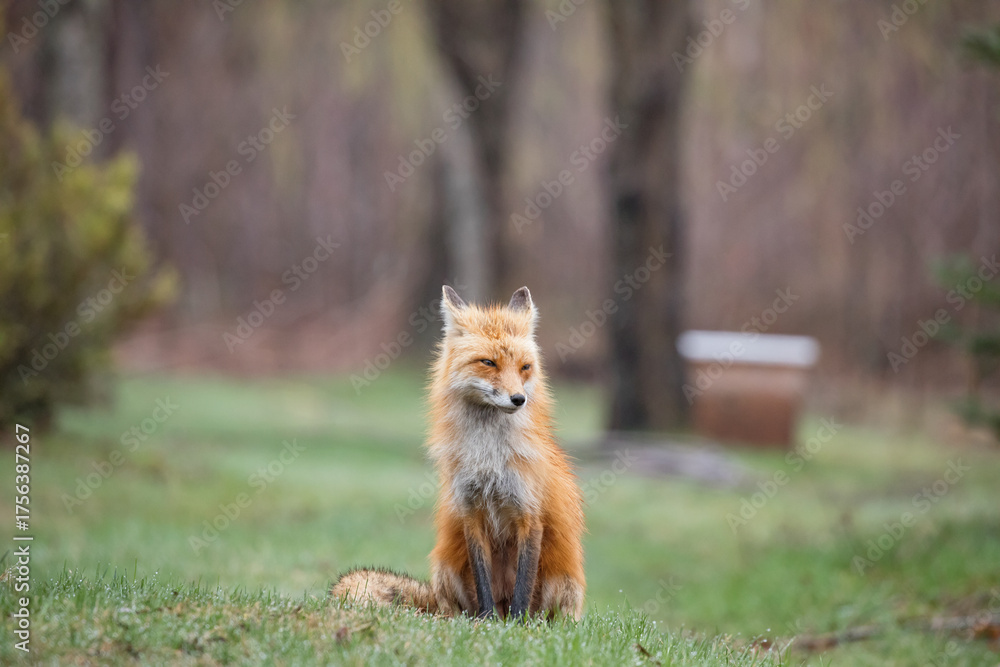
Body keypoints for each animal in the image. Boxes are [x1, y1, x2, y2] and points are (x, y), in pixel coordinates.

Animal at [332, 285, 585, 620]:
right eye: (488, 363)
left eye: (525, 367)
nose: (519, 399)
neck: (489, 457)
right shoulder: (470, 511)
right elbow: (482, 580)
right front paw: (488, 622)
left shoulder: (529, 514)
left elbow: (523, 586)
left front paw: (518, 625)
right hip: (444, 570)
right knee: (453, 611)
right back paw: (480, 619)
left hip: (564, 586)